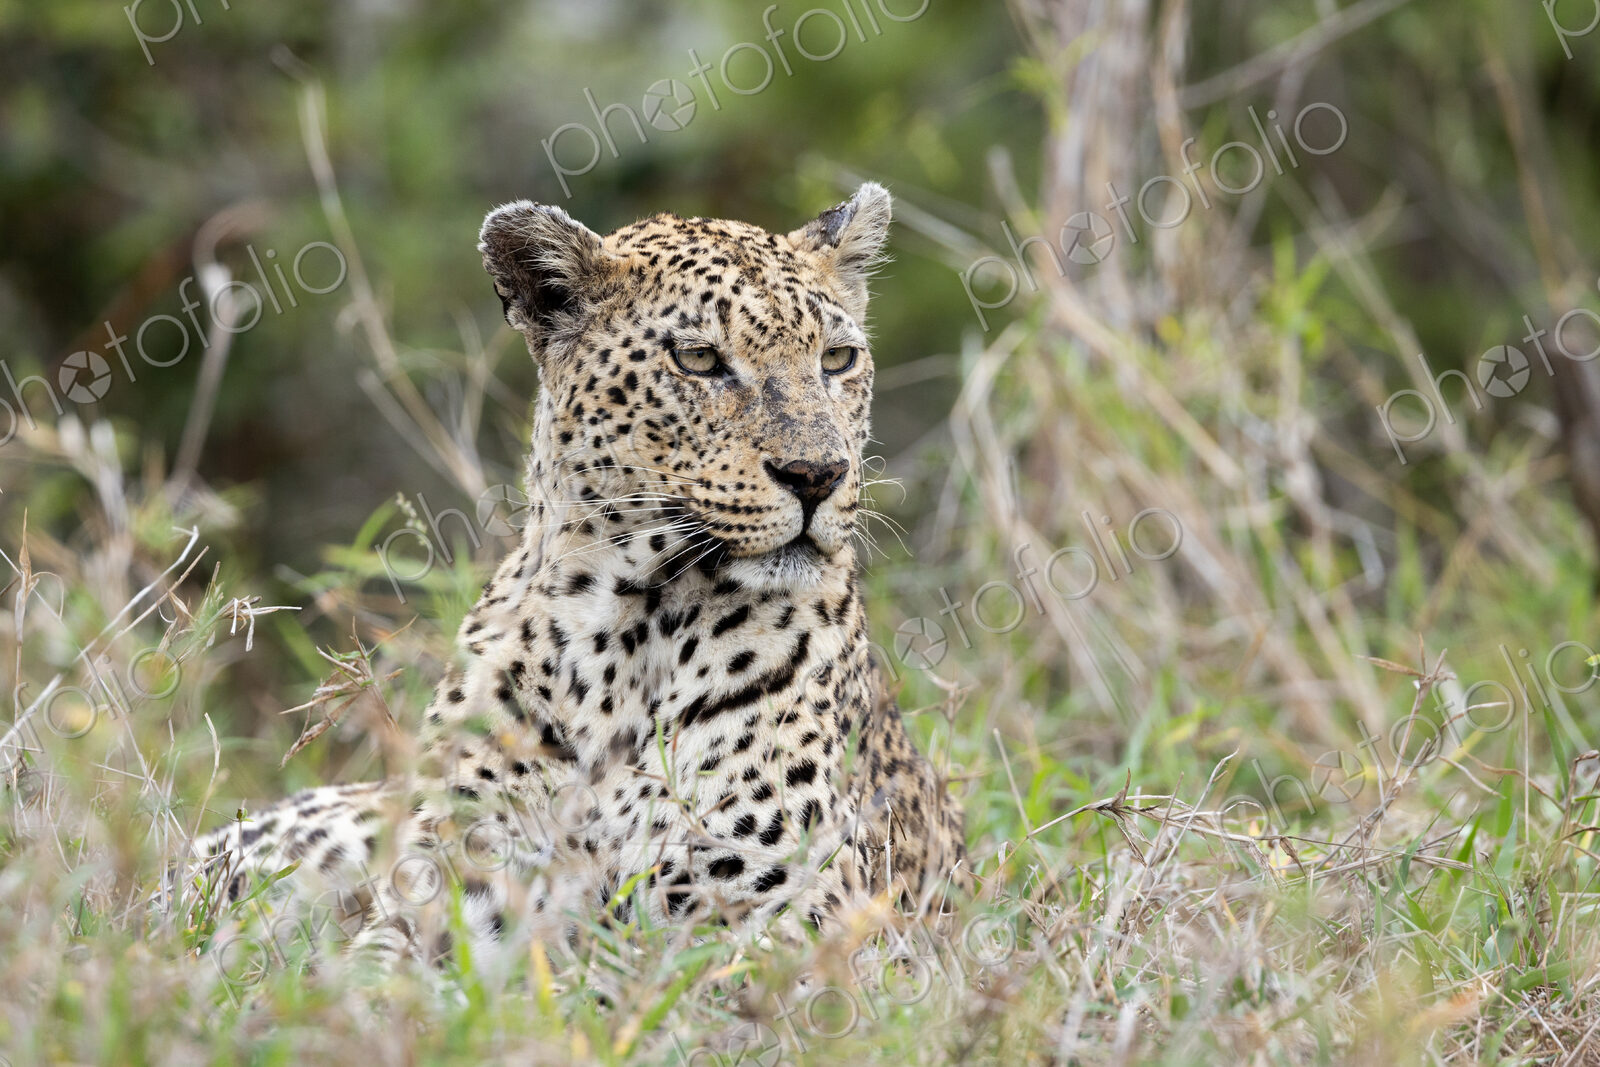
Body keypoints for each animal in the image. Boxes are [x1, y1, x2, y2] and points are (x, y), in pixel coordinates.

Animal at [186, 183, 967, 968]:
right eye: (699, 358)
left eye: (837, 358)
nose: (818, 475)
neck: (625, 628)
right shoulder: (450, 896)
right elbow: (371, 981)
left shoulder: (793, 922)